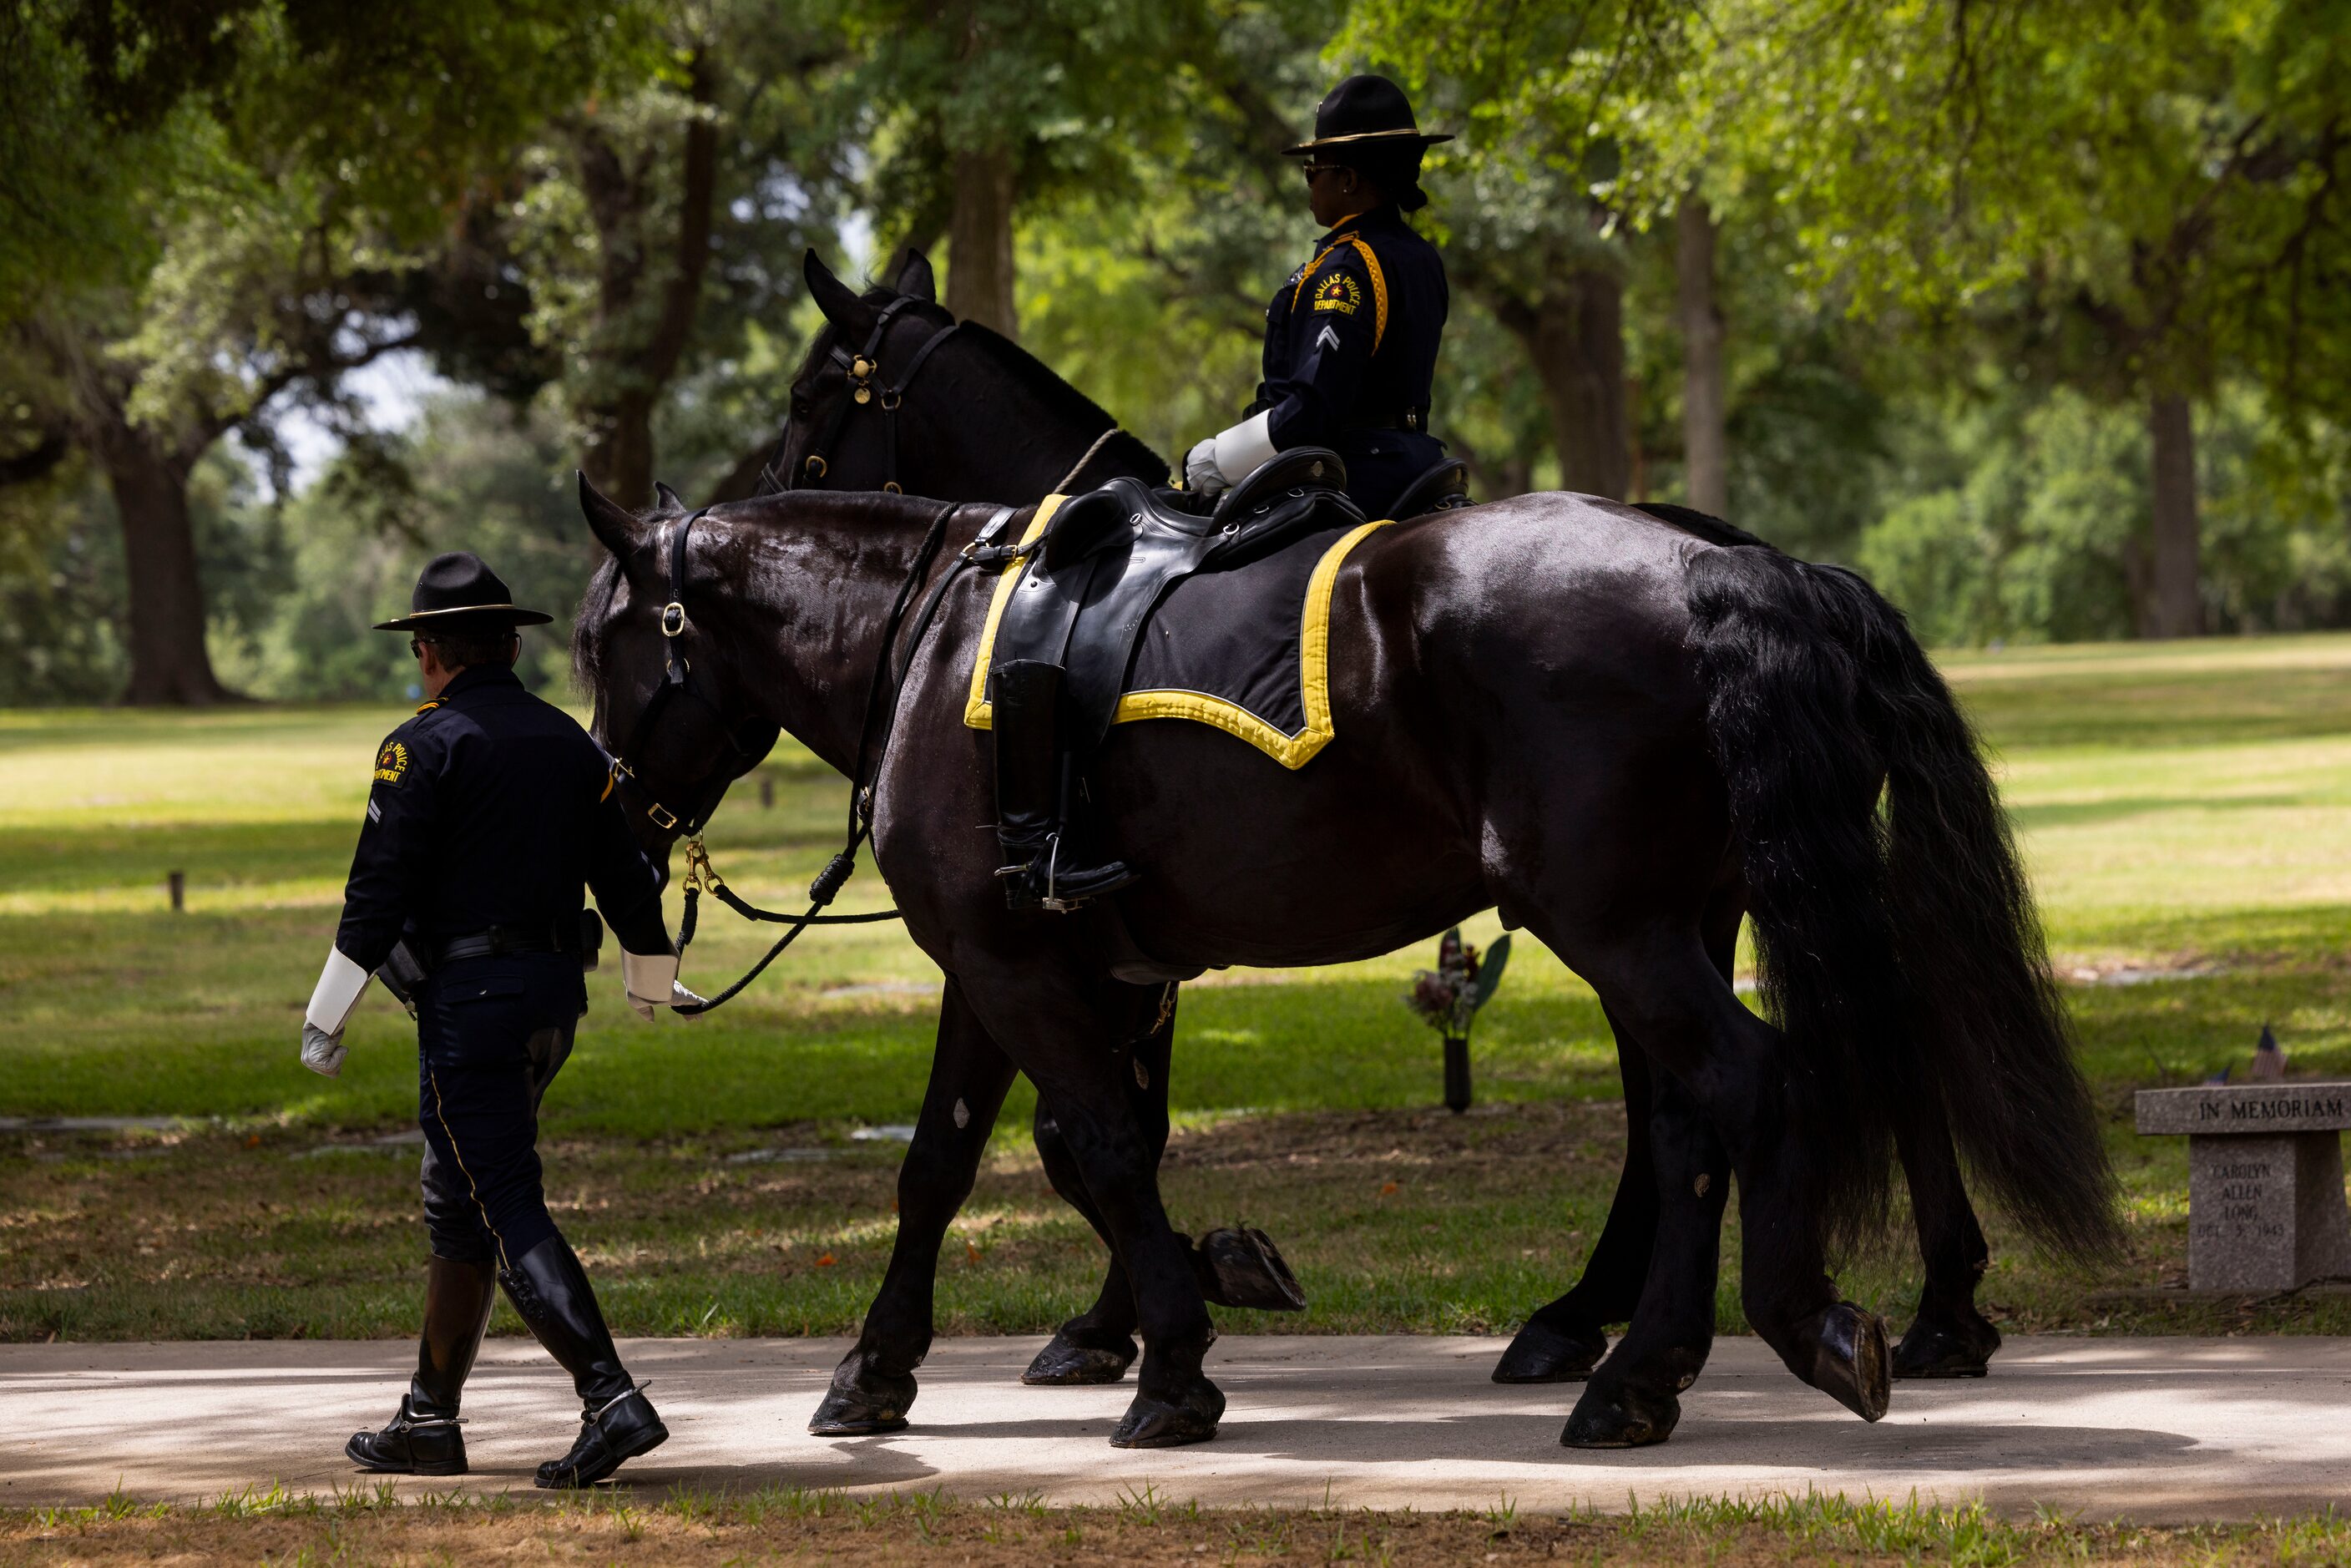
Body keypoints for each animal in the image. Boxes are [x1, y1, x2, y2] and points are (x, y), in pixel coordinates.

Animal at [578, 272, 2125, 1448]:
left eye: (815, 403)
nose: (611, 816)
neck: (947, 626)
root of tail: (1737, 567)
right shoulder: (1041, 962)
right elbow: (964, 1157)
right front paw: (906, 1359)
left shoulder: (1019, 962)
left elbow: (1097, 1143)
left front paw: (1168, 1347)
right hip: (1689, 908)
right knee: (1721, 1099)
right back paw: (1686, 1346)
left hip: (1617, 917)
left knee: (1746, 1079)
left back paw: (1733, 1335)